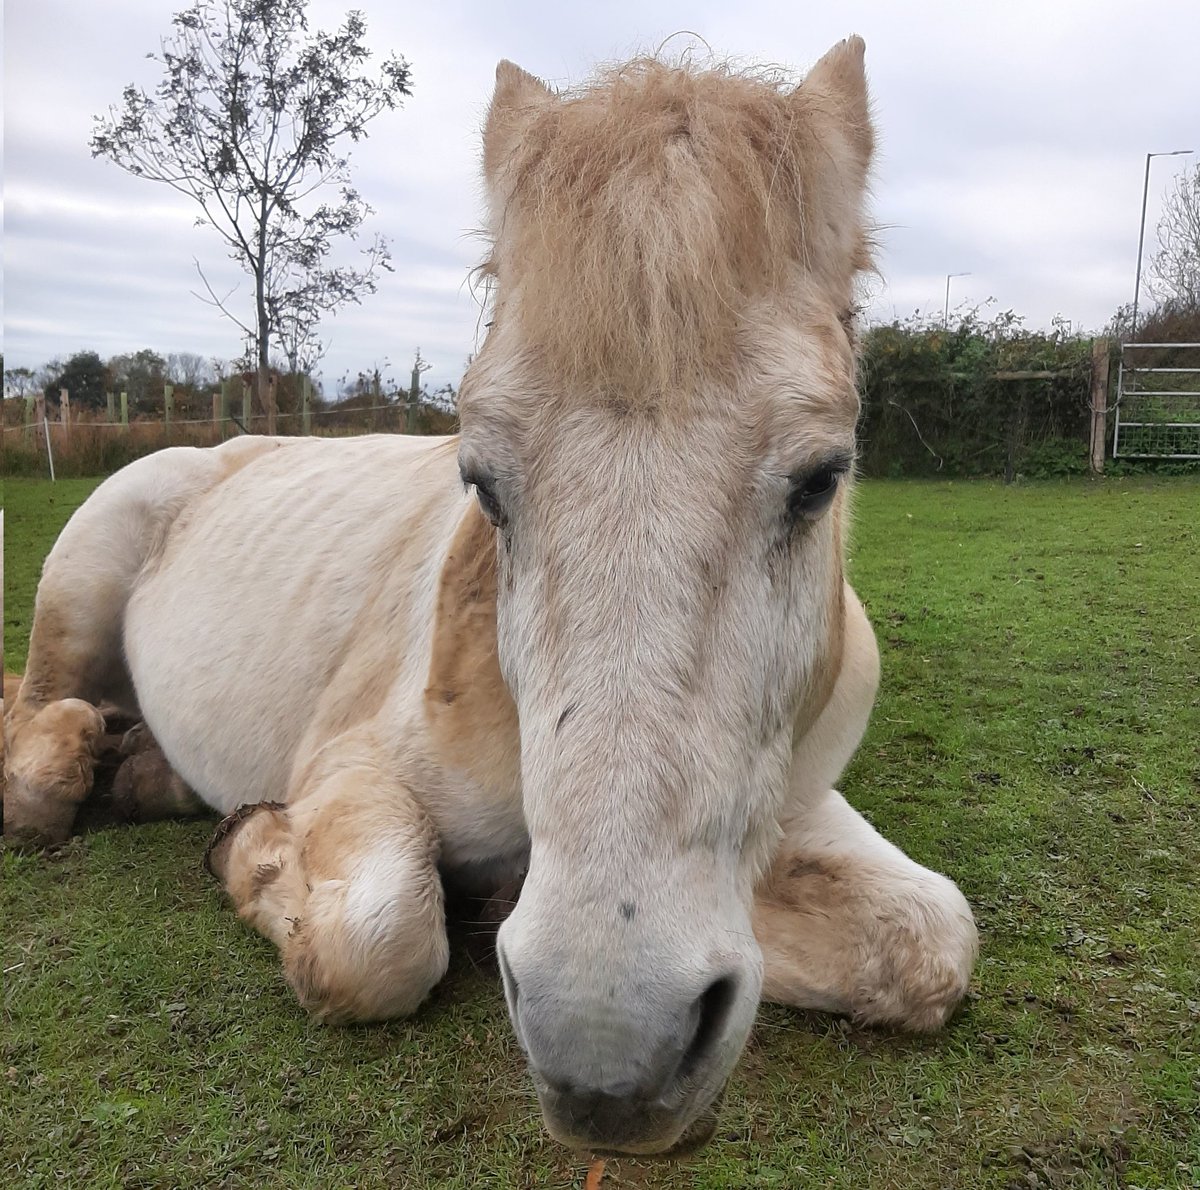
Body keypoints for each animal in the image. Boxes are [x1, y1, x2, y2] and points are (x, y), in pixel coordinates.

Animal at [3, 38, 978, 1157]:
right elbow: (379, 938)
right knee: (32, 733)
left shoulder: (796, 806)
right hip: (84, 575)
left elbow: (928, 940)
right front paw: (252, 849)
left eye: (822, 479)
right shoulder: (348, 765)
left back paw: (144, 772)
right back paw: (84, 760)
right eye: (484, 480)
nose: (608, 1048)